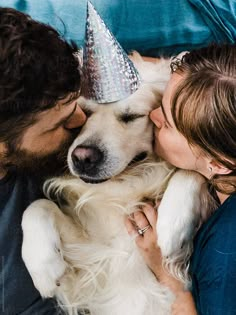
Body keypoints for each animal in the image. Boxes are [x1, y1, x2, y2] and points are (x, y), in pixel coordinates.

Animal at [21, 54, 206, 315]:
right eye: (83, 112)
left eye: (131, 117)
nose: (83, 158)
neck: (125, 183)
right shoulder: (94, 260)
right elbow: (37, 205)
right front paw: (43, 265)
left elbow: (191, 168)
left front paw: (172, 225)